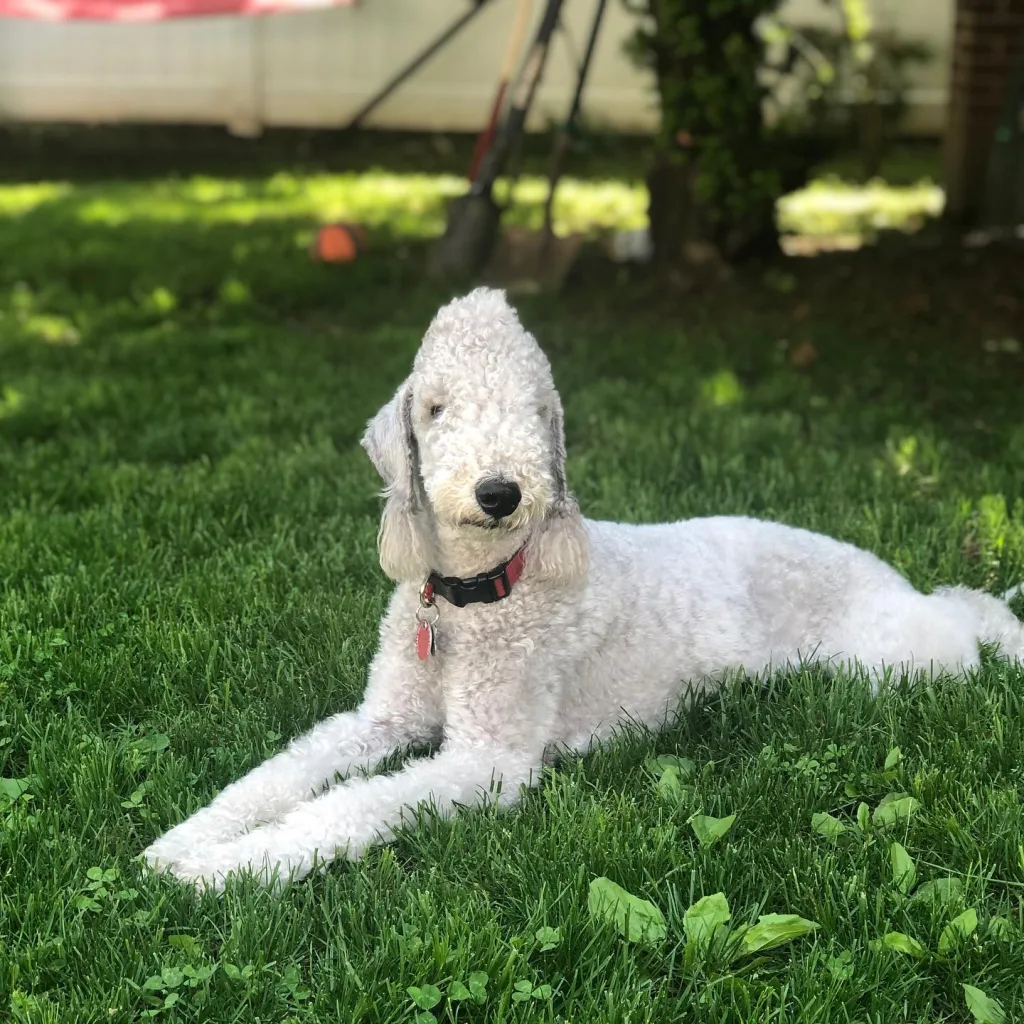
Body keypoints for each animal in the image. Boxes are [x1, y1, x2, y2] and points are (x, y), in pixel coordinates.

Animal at [146, 286, 1024, 888]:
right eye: (435, 408)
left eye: (537, 412)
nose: (500, 492)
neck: (476, 596)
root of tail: (892, 579)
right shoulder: (379, 718)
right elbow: (280, 774)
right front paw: (182, 843)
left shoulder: (490, 759)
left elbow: (354, 805)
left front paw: (231, 869)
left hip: (892, 660)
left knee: (964, 620)